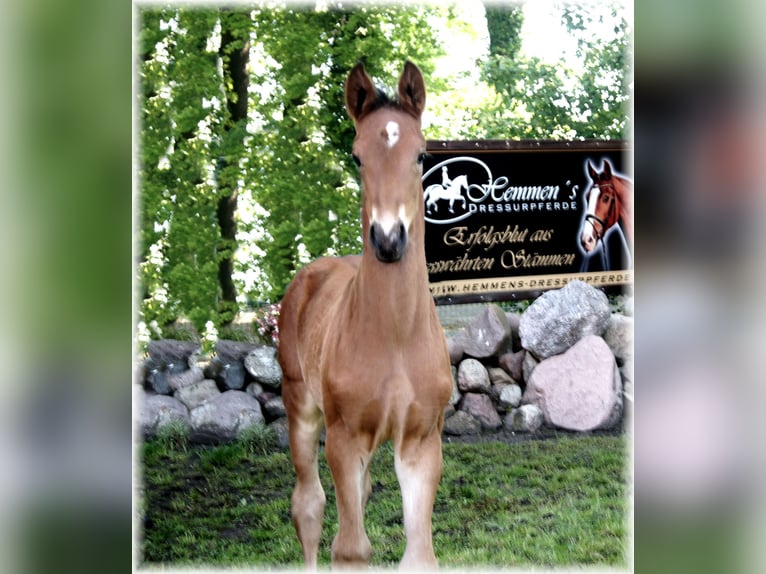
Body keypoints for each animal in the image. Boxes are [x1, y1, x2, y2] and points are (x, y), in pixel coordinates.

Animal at [278, 60, 452, 568]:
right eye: (357, 157)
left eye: (422, 154)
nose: (389, 240)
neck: (395, 337)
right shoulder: (344, 438)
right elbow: (350, 549)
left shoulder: (420, 443)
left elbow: (420, 554)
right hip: (301, 408)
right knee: (309, 505)